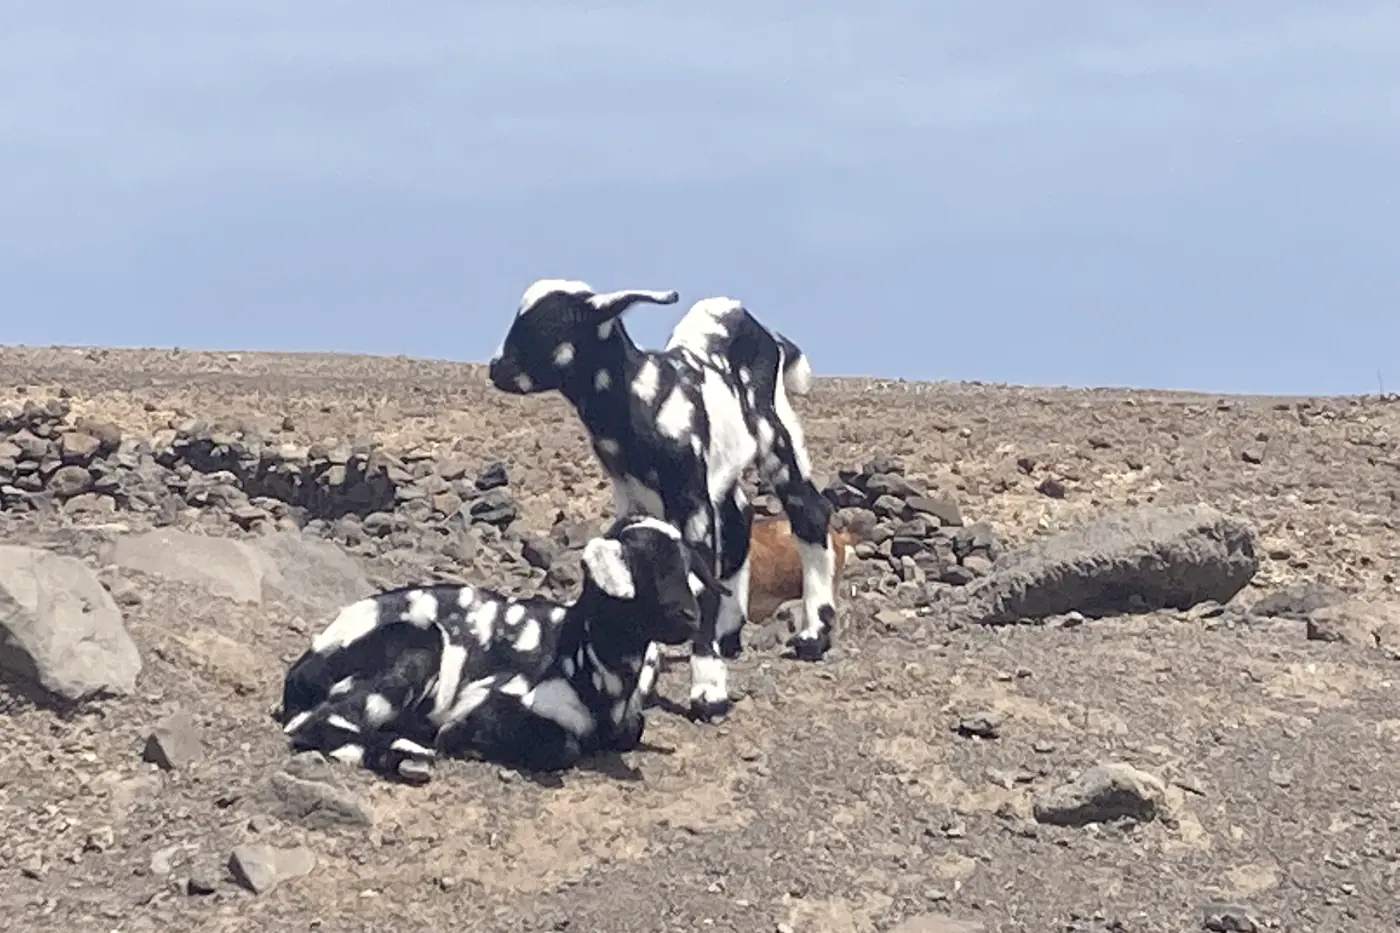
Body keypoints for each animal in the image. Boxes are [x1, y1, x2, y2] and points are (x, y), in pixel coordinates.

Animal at [277, 514, 724, 781]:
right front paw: (464, 738)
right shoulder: (492, 697)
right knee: (315, 723)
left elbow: (633, 729)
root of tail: (301, 670)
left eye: (686, 567)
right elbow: (563, 746)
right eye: (647, 567)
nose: (691, 617)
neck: (578, 656)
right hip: (415, 646)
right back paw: (405, 754)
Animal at [487, 279, 838, 721]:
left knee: (809, 511)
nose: (496, 369)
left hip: (775, 433)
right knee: (739, 517)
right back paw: (730, 632)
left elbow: (699, 580)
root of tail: (752, 322)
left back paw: (813, 634)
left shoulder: (690, 500)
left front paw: (708, 691)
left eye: (546, 326)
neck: (643, 397)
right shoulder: (634, 499)